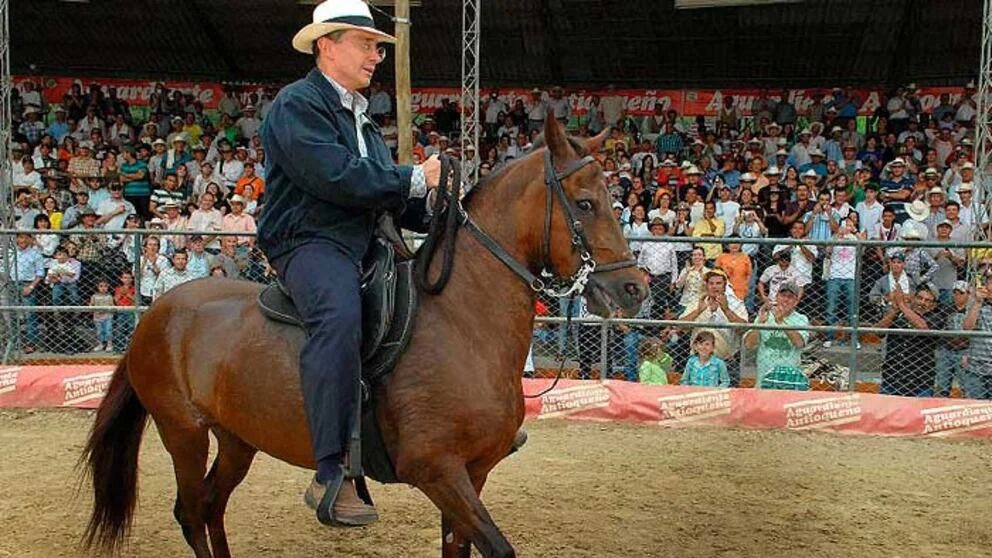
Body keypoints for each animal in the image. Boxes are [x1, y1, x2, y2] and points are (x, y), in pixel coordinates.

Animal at [81, 116, 648, 556]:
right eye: (585, 203)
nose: (633, 288)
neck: (462, 323)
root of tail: (159, 312)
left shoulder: (473, 474)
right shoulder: (438, 471)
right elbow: (498, 547)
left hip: (238, 439)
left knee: (211, 507)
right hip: (183, 431)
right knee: (193, 511)